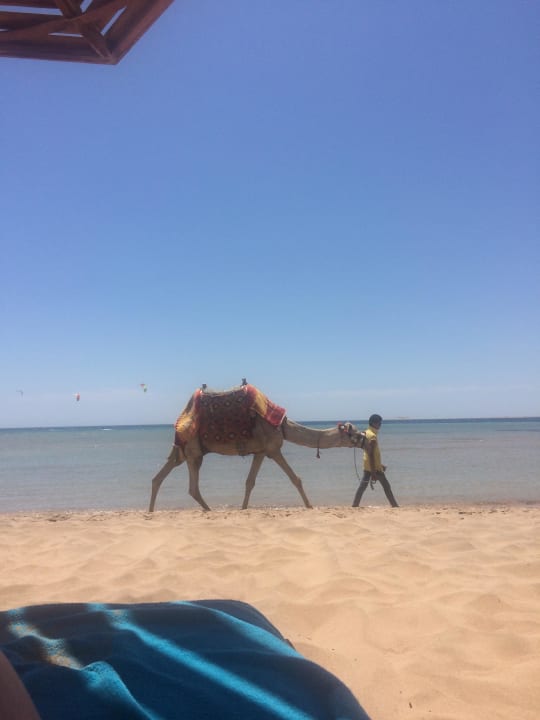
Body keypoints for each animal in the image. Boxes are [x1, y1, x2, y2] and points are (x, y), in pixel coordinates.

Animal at [148, 383, 365, 511]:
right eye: (353, 433)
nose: (365, 438)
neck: (282, 426)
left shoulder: (260, 452)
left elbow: (249, 482)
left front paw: (244, 508)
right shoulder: (273, 449)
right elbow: (295, 478)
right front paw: (310, 505)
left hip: (185, 451)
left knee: (159, 477)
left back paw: (151, 511)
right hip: (194, 450)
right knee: (192, 487)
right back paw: (208, 510)